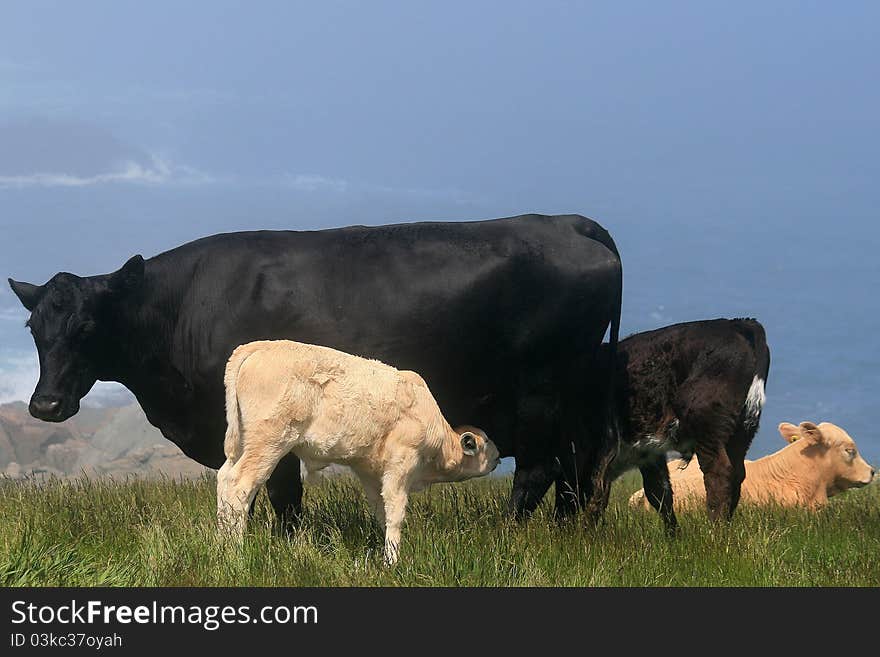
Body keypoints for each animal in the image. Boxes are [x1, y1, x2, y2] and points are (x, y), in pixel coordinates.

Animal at [8, 214, 624, 524]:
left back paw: (509, 534)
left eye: (88, 327)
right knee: (575, 472)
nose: (46, 404)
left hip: (541, 394)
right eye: (34, 329)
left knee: (540, 470)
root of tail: (568, 222)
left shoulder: (274, 427)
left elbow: (282, 495)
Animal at [217, 340, 498, 560]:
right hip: (268, 443)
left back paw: (222, 543)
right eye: (484, 442)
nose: (497, 456)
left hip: (243, 442)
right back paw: (235, 550)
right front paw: (392, 561)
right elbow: (396, 512)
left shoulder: (370, 472)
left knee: (223, 478)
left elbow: (381, 510)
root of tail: (258, 346)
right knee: (239, 485)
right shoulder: (401, 464)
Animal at [584, 318, 768, 532]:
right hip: (743, 430)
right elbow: (658, 492)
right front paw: (674, 534)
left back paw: (715, 530)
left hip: (708, 426)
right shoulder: (647, 453)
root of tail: (738, 323)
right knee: (738, 473)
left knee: (719, 472)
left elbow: (596, 495)